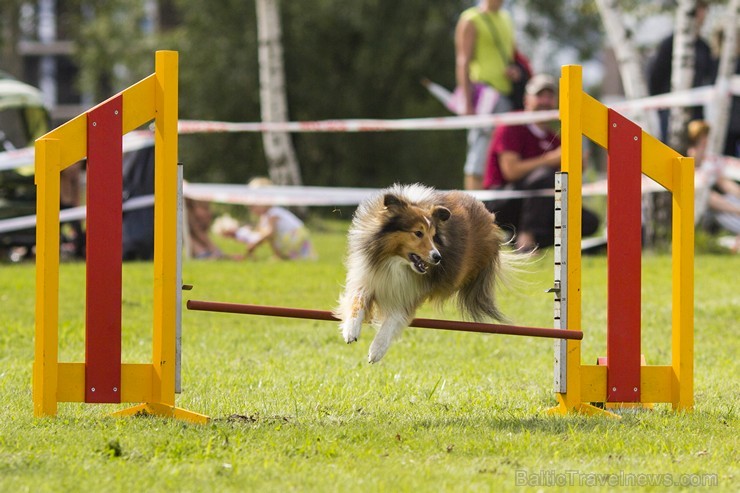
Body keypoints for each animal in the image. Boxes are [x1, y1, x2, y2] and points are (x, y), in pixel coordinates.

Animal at [336, 184, 506, 362]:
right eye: (418, 233)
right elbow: (357, 301)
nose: (438, 257)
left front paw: (377, 350)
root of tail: (486, 211)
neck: (394, 262)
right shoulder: (367, 277)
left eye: (433, 236)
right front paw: (350, 330)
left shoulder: (408, 294)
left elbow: (392, 321)